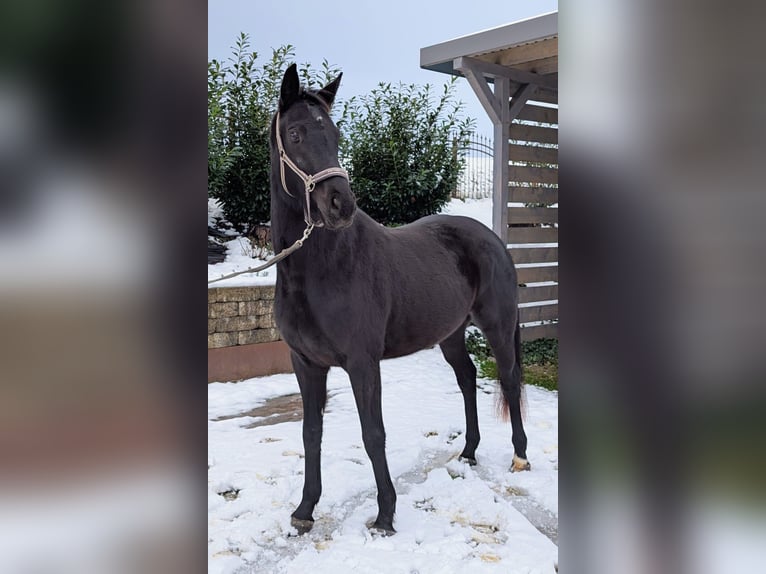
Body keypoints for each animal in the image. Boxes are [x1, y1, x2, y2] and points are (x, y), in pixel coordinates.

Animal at [270, 65, 528, 536]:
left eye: (335, 133)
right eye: (295, 134)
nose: (340, 204)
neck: (319, 270)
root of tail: (493, 239)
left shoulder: (362, 362)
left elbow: (374, 434)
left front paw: (385, 515)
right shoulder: (306, 363)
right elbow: (311, 433)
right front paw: (304, 509)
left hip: (498, 328)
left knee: (509, 380)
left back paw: (520, 455)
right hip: (451, 335)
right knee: (467, 378)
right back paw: (468, 451)